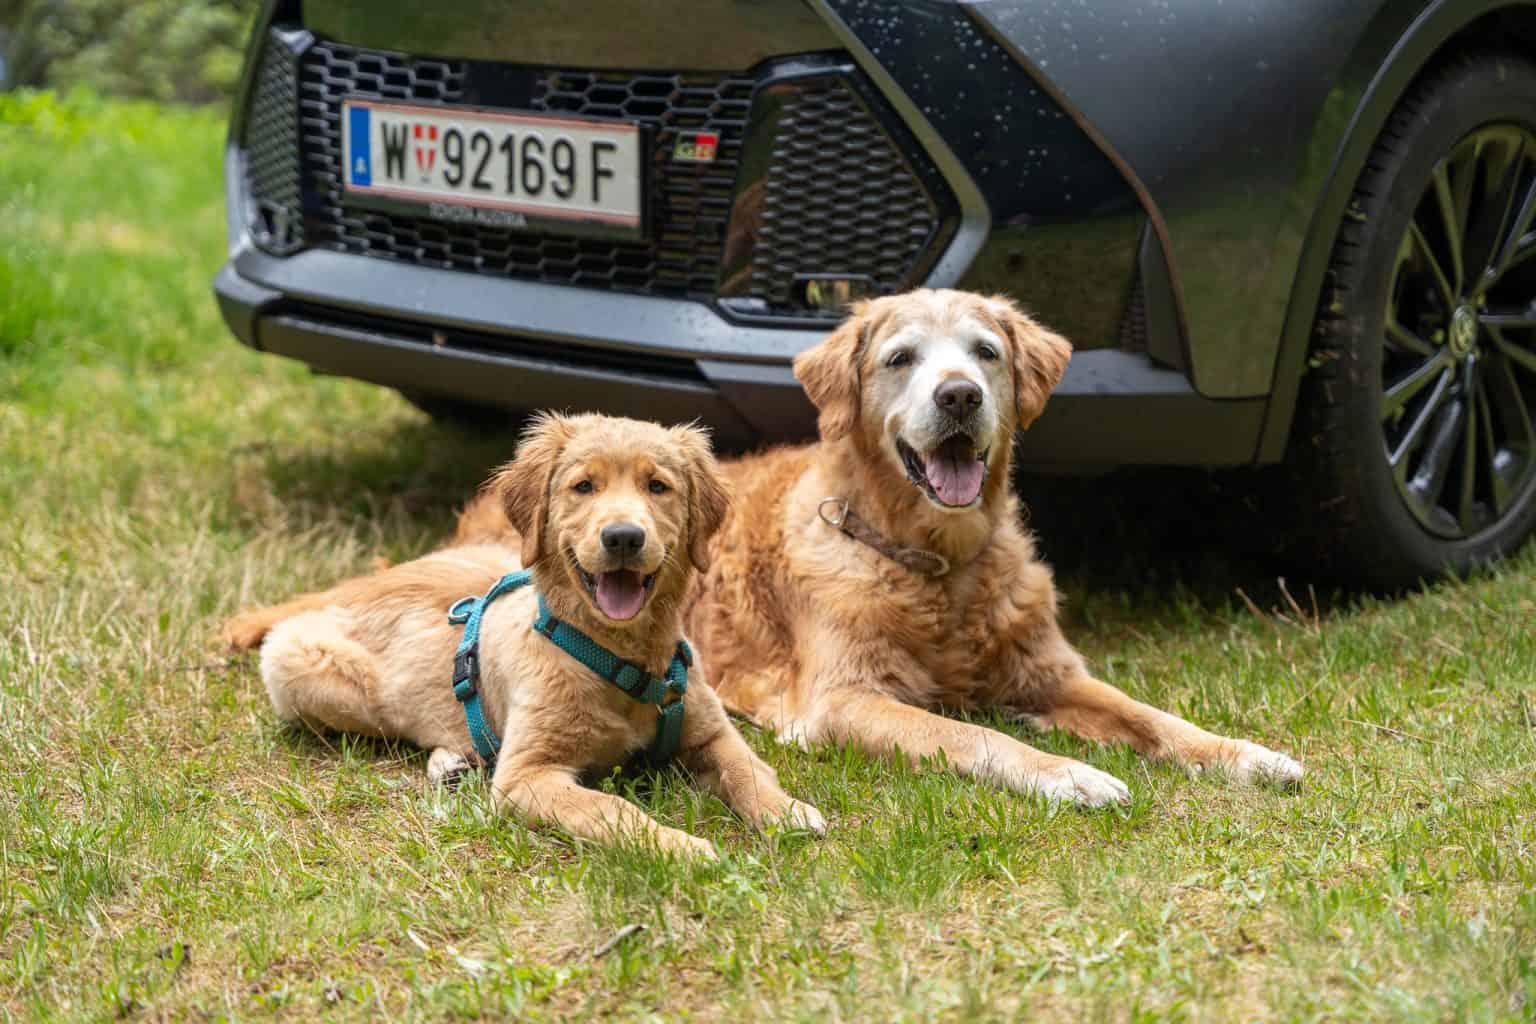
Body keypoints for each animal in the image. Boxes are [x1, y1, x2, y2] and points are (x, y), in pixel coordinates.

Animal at [224, 411, 823, 853]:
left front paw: (787, 811)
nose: (623, 537)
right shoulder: (527, 775)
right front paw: (677, 846)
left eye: (658, 486)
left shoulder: (712, 732)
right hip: (299, 669)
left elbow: (750, 768)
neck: (619, 660)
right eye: (583, 486)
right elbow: (610, 809)